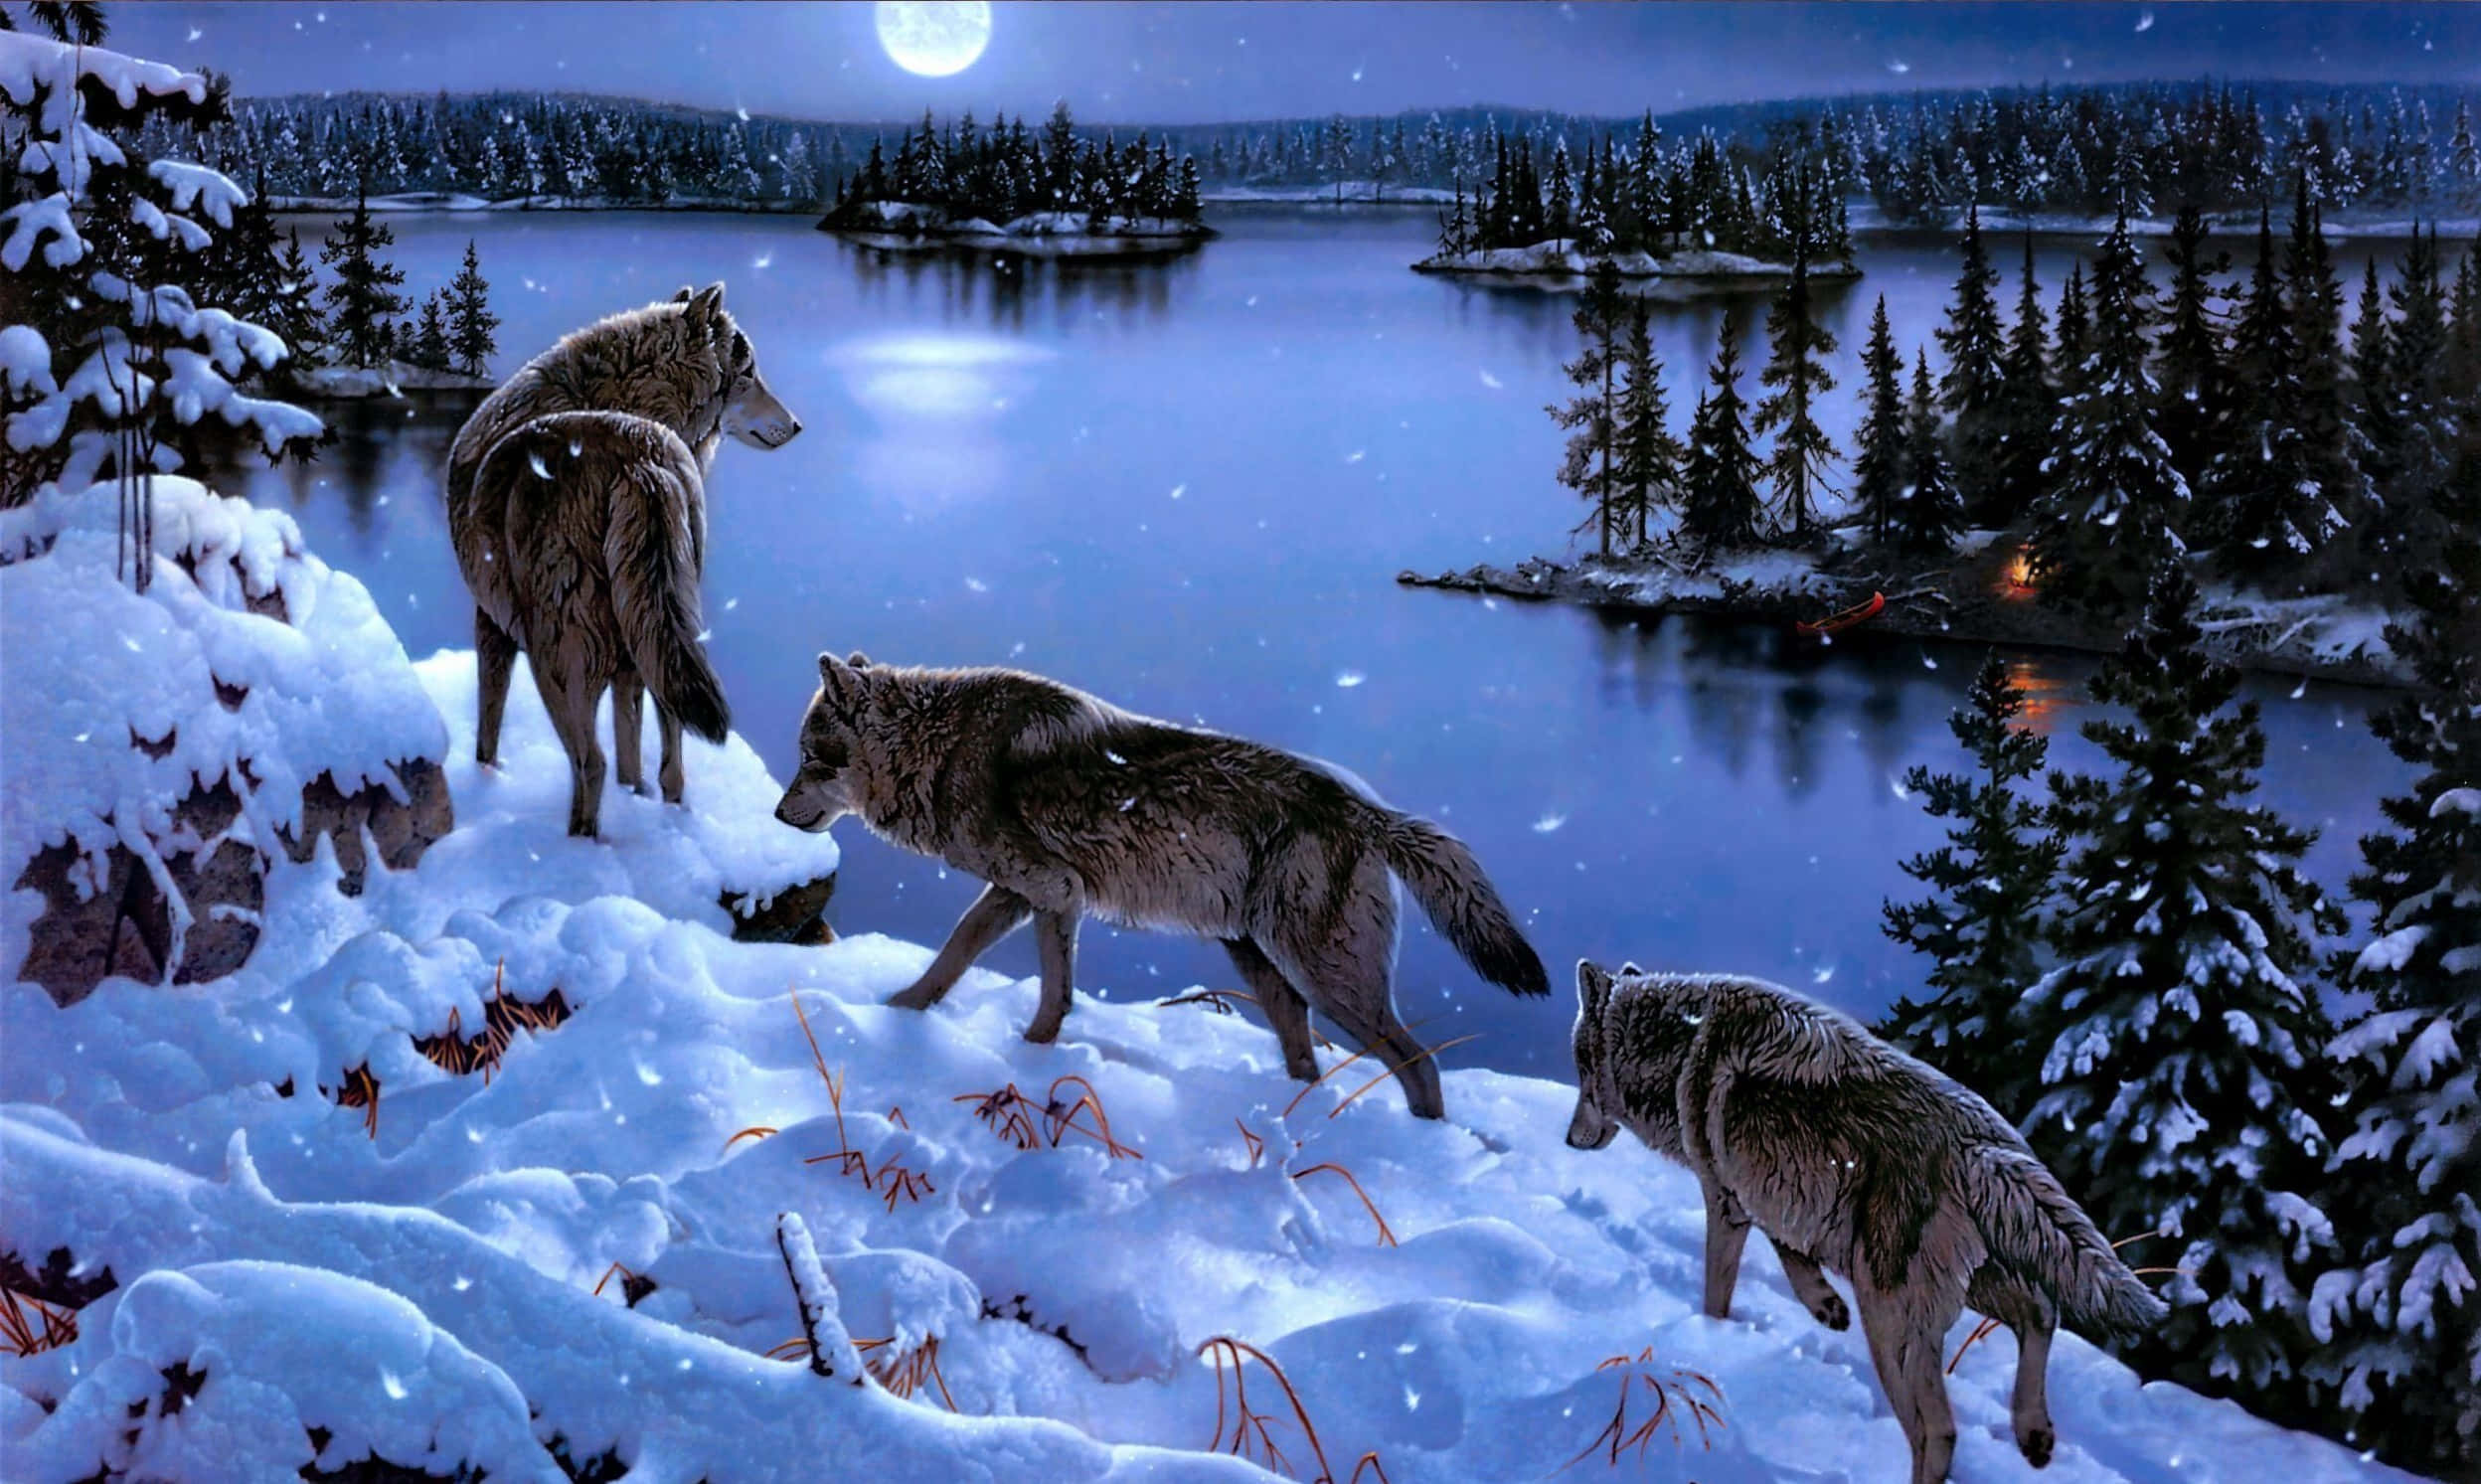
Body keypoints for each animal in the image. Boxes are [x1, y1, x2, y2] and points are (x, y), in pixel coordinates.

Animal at [467, 411, 730, 837]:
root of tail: (638, 462)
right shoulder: (629, 668)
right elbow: (630, 747)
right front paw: (635, 793)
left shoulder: (490, 622)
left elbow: (488, 724)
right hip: (664, 644)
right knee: (673, 764)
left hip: (557, 663)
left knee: (590, 762)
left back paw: (578, 840)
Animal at [772, 652, 1550, 1119]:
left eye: (809, 758)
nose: (778, 813)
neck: (938, 748)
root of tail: (1370, 807)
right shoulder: (1025, 893)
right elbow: (958, 953)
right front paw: (902, 1008)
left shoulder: (1053, 888)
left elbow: (1041, 982)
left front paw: (1030, 1052)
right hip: (1261, 962)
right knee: (1308, 1054)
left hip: (1328, 978)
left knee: (1420, 1064)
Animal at [1563, 963, 2167, 1484]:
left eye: (1580, 1069)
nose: (1568, 1140)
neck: (1679, 1044)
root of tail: (1979, 1149)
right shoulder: (1780, 1196)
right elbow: (1792, 1252)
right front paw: (1824, 1307)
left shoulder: (1726, 1200)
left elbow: (1718, 1292)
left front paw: (1710, 1342)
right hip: (1969, 1287)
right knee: (2041, 1314)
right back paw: (2034, 1435)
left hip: (1892, 1320)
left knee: (1939, 1430)